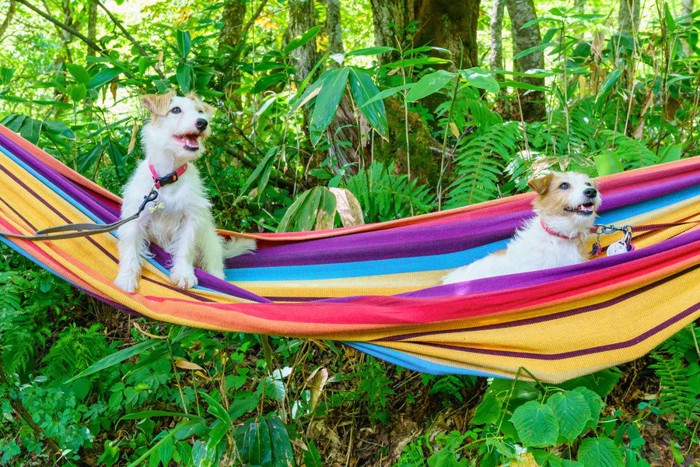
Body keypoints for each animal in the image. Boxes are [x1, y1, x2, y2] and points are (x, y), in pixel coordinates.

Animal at [115, 90, 258, 292]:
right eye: (175, 110)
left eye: (200, 111)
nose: (202, 122)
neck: (168, 178)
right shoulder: (135, 218)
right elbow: (130, 249)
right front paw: (127, 277)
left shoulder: (190, 219)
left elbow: (185, 249)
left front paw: (183, 274)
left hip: (209, 240)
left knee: (214, 261)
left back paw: (218, 281)